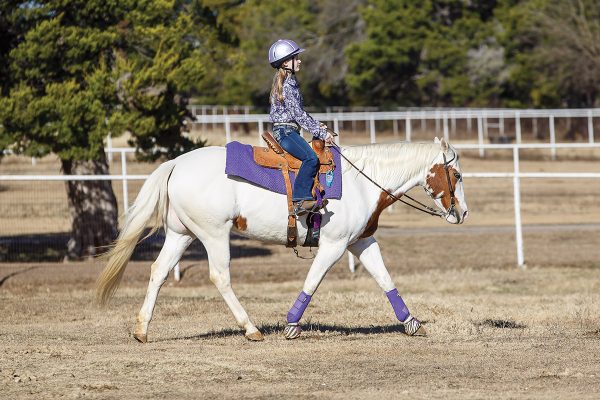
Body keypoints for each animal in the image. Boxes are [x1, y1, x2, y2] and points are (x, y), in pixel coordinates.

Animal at [96, 137, 468, 340]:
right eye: (457, 174)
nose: (462, 213)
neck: (363, 181)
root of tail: (176, 163)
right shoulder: (334, 246)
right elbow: (312, 282)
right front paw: (291, 324)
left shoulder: (360, 242)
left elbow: (386, 280)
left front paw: (412, 323)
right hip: (214, 234)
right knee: (220, 276)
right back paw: (250, 329)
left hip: (181, 234)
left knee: (158, 272)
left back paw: (142, 330)